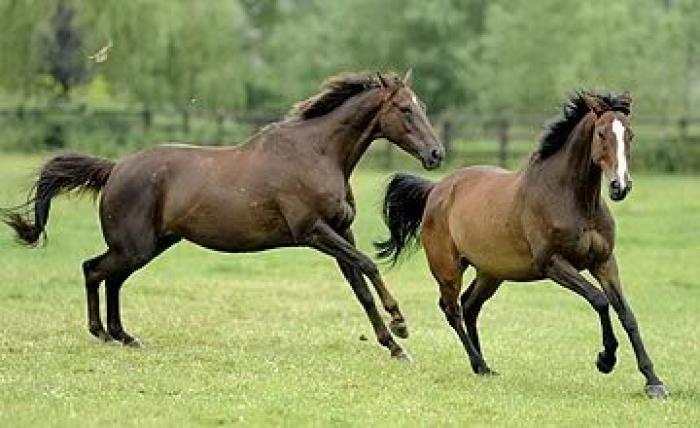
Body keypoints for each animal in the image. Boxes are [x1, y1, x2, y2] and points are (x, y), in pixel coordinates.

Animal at [2, 70, 445, 361]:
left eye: (421, 106)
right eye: (405, 109)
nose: (436, 154)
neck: (316, 153)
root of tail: (115, 169)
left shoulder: (340, 233)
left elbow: (360, 289)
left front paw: (394, 346)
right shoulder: (314, 232)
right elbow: (369, 266)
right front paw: (401, 323)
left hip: (150, 245)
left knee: (111, 278)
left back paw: (123, 336)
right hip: (135, 246)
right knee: (94, 270)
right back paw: (103, 334)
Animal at [375, 91, 668, 398]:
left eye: (630, 135)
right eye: (601, 133)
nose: (620, 187)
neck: (570, 199)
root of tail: (435, 190)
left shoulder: (604, 262)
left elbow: (627, 314)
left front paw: (653, 381)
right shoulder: (552, 264)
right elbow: (599, 300)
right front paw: (605, 360)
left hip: (491, 272)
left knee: (469, 306)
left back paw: (483, 366)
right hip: (448, 268)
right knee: (452, 309)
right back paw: (479, 363)